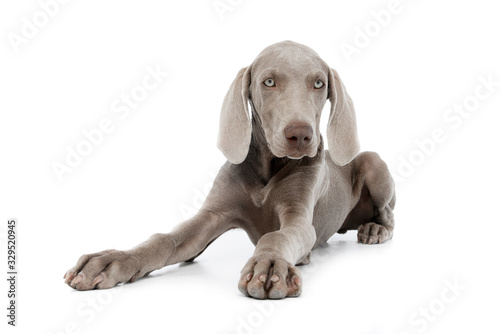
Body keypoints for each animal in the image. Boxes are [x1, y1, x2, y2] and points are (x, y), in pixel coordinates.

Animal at [64, 41, 396, 300]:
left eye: (318, 83)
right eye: (269, 82)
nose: (301, 136)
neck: (268, 169)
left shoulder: (300, 218)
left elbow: (278, 236)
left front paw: (269, 265)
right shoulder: (210, 217)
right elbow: (165, 238)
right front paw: (112, 260)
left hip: (374, 163)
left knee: (388, 214)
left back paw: (374, 229)